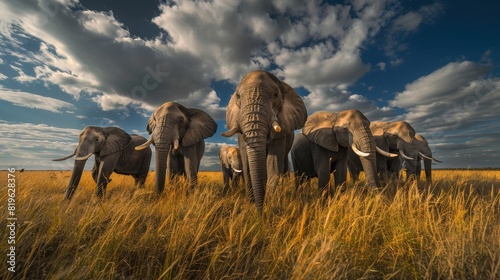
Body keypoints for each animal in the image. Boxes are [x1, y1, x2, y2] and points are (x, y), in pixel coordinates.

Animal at [221, 70, 306, 212]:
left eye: (275, 95)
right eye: (238, 96)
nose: (260, 213)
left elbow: (273, 161)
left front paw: (271, 204)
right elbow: (246, 162)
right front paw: (251, 203)